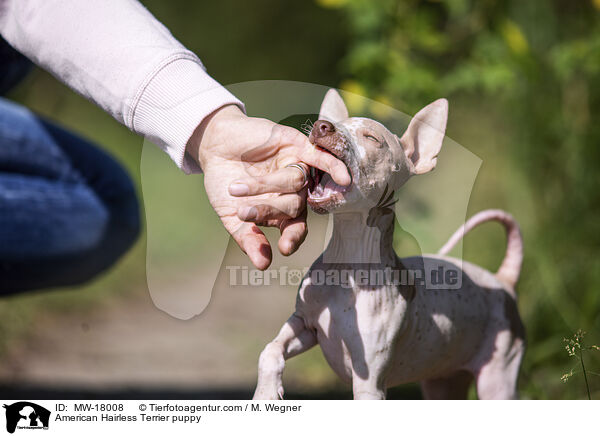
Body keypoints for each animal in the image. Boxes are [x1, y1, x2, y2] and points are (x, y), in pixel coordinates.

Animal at [253, 90, 524, 400]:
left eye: (372, 138)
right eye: (336, 123)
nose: (322, 126)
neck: (348, 263)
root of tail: (503, 281)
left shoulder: (369, 384)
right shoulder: (305, 324)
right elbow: (270, 350)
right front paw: (266, 393)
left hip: (498, 378)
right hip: (443, 382)